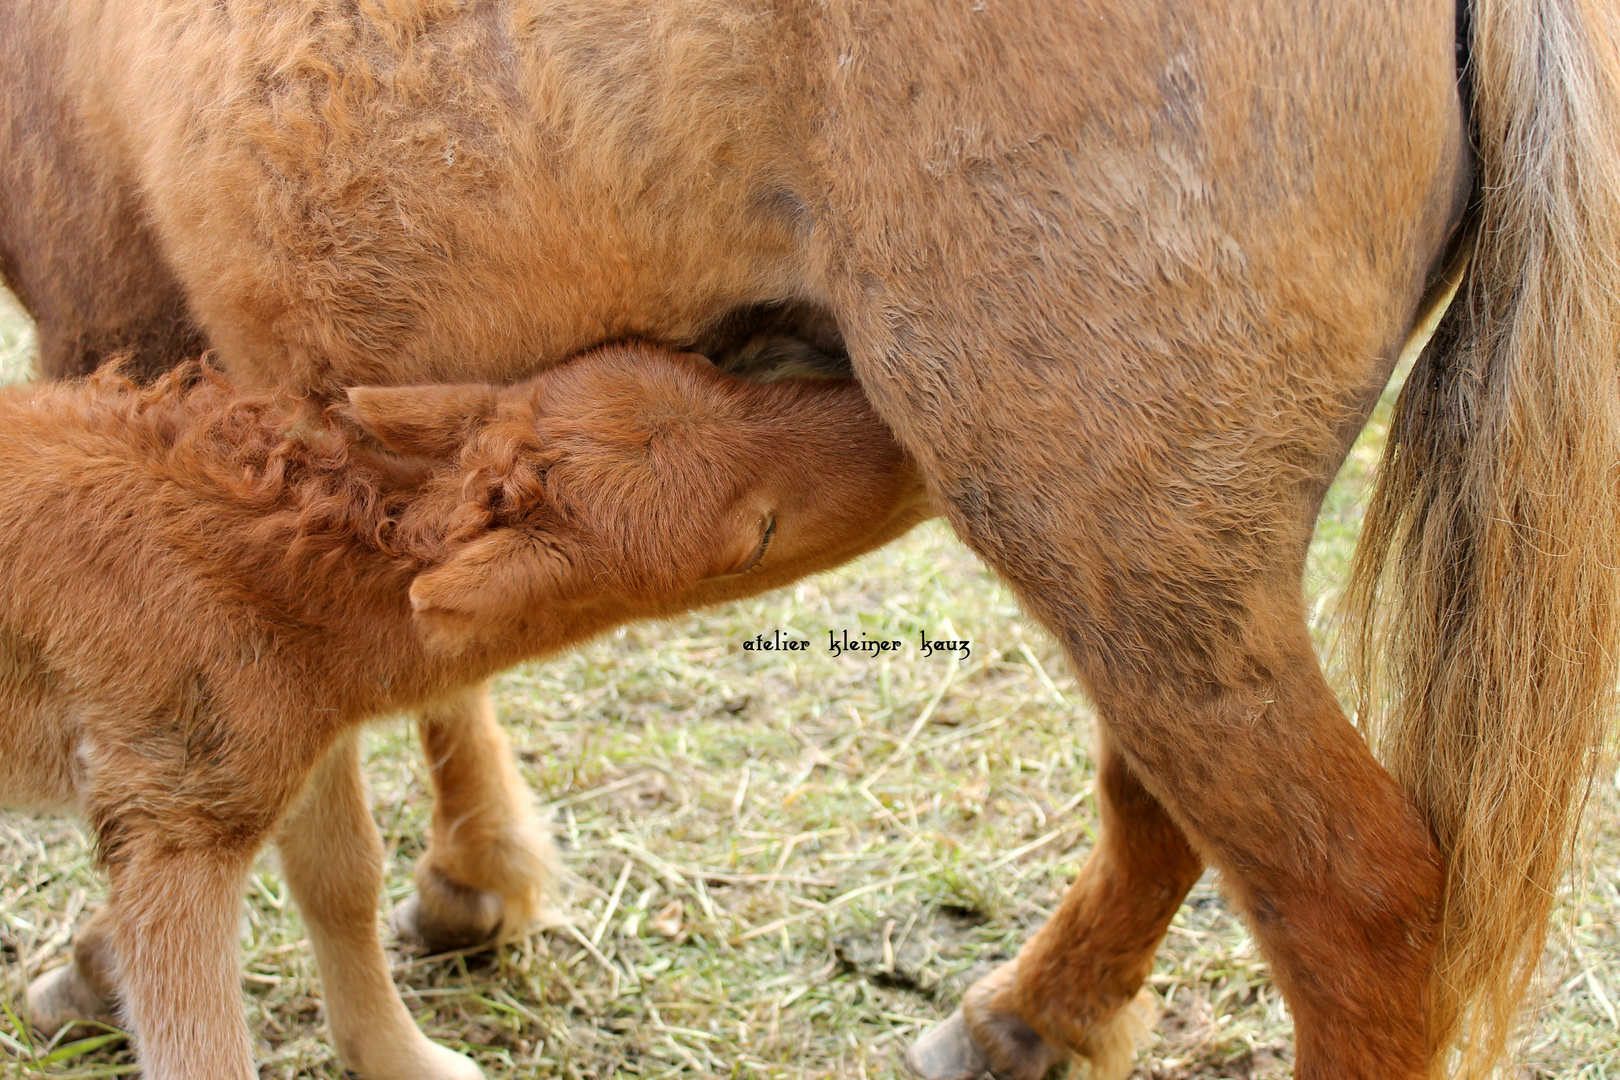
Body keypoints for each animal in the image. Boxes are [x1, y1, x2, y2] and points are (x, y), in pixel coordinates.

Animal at [0, 344, 933, 1080]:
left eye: (714, 370)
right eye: (756, 537)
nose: (899, 449)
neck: (261, 577)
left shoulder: (298, 741)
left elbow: (342, 879)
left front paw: (404, 1058)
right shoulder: (175, 816)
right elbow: (198, 1043)